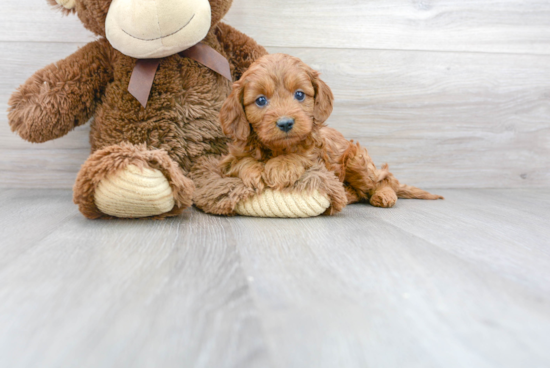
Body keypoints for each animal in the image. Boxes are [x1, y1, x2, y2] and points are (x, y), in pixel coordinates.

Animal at [194, 54, 444, 216]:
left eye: (299, 94)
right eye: (261, 100)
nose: (285, 123)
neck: (277, 148)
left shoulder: (318, 151)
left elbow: (302, 156)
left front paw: (281, 167)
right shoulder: (229, 158)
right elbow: (240, 161)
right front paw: (254, 171)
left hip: (356, 160)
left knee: (382, 180)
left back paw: (384, 195)